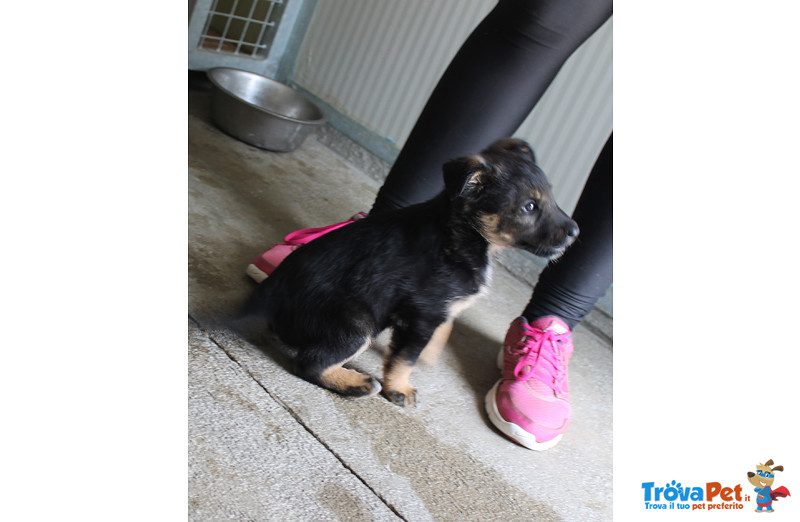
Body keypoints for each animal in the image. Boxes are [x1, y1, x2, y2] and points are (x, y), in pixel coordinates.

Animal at [242, 139, 576, 406]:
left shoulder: (433, 312)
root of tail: (267, 295)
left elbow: (437, 332)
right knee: (310, 363)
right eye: (529, 206)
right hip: (356, 323)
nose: (575, 231)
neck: (462, 233)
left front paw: (432, 352)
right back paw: (357, 383)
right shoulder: (421, 315)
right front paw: (399, 389)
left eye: (551, 196)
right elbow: (405, 358)